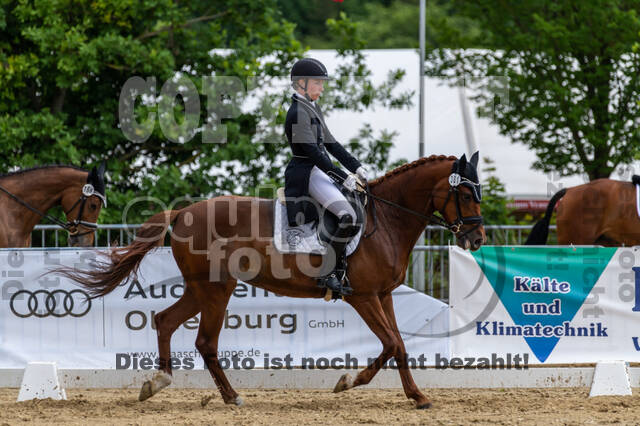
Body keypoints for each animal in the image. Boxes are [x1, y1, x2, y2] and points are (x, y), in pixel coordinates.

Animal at [56, 154, 485, 409]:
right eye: (465, 193)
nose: (477, 238)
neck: (386, 222)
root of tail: (182, 212)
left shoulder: (384, 295)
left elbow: (398, 346)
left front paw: (415, 395)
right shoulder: (362, 296)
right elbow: (392, 343)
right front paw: (349, 381)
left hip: (201, 289)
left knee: (165, 320)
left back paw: (158, 382)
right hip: (217, 289)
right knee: (204, 341)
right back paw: (231, 397)